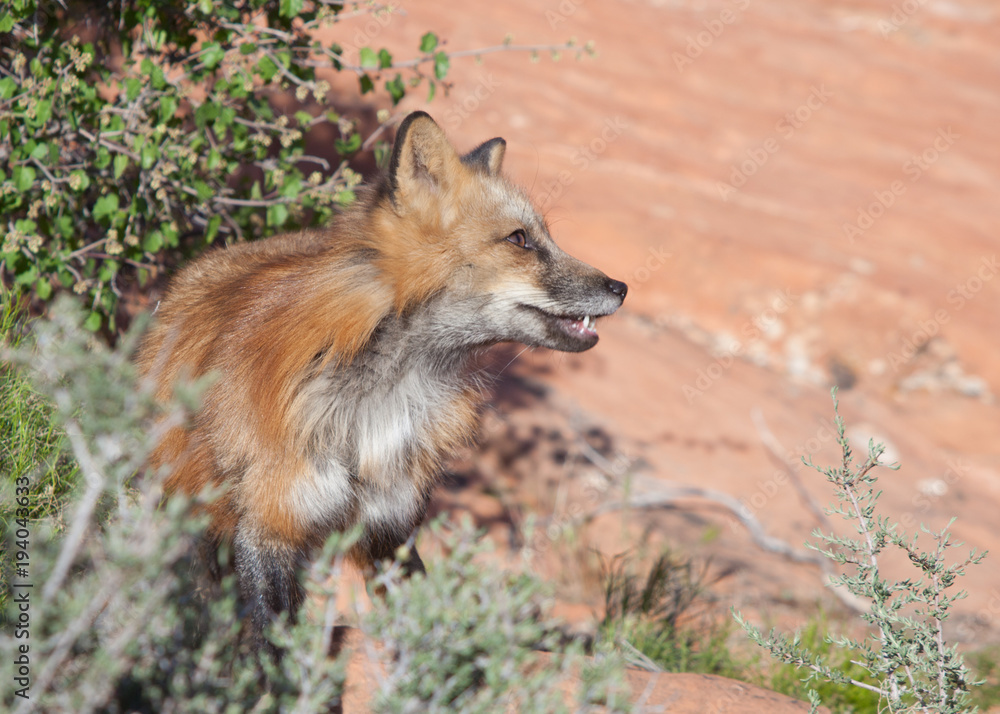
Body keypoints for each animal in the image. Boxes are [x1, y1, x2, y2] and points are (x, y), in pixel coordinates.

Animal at [137, 111, 627, 653]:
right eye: (520, 240)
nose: (621, 287)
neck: (378, 403)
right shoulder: (270, 523)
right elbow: (274, 647)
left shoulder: (390, 525)